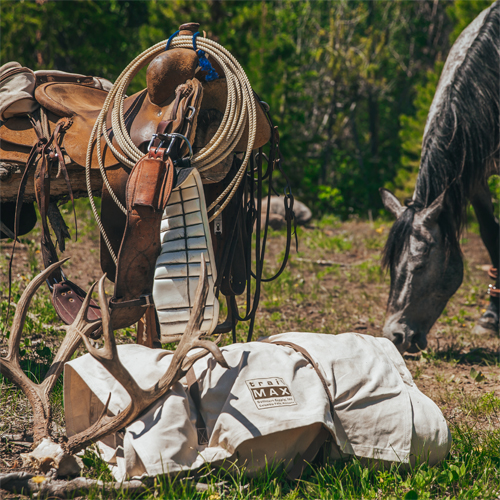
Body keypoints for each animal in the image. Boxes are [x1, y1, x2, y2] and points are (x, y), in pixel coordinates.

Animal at [380, 2, 498, 356]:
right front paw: (491, 317)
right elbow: (491, 235)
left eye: (419, 266)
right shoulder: (475, 178)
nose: (394, 337)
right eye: (392, 266)